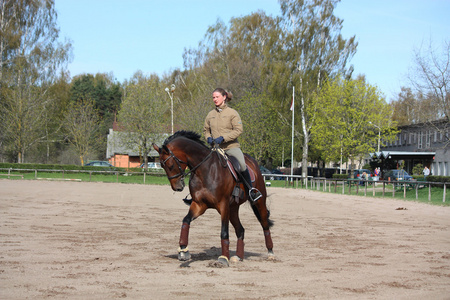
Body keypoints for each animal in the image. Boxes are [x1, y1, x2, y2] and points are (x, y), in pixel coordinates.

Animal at [153, 130, 274, 266]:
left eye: (170, 165)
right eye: (162, 165)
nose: (177, 187)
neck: (205, 169)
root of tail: (252, 161)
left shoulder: (223, 205)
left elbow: (224, 232)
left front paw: (223, 258)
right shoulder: (199, 205)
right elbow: (185, 221)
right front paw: (183, 251)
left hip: (258, 202)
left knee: (265, 224)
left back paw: (270, 253)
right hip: (233, 209)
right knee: (240, 230)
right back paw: (238, 256)